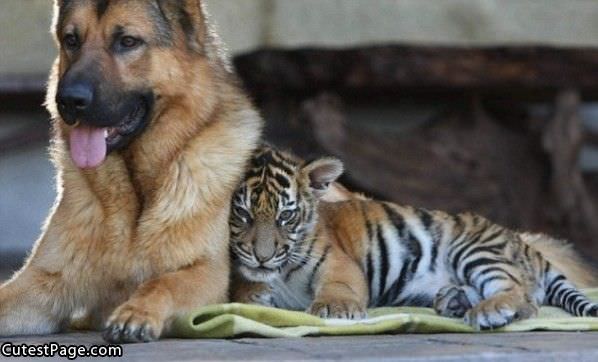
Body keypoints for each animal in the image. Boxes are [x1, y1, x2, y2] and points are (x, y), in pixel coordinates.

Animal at [0, 0, 262, 344]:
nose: (67, 100)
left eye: (127, 42)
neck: (135, 191)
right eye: (72, 40)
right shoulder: (43, 282)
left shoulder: (208, 277)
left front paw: (136, 312)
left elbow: (163, 283)